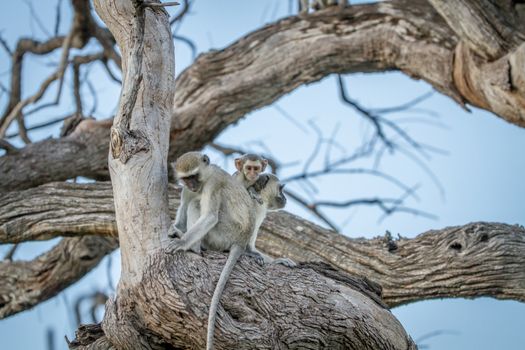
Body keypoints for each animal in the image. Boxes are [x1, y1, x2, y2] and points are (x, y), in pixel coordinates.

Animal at [167, 151, 292, 350]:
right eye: (186, 178)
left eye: (194, 176)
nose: (192, 185)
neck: (205, 178)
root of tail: (239, 241)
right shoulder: (187, 190)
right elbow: (185, 213)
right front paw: (177, 231)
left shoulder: (213, 184)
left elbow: (210, 216)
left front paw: (182, 242)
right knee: (194, 204)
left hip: (225, 234)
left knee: (197, 205)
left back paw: (193, 246)